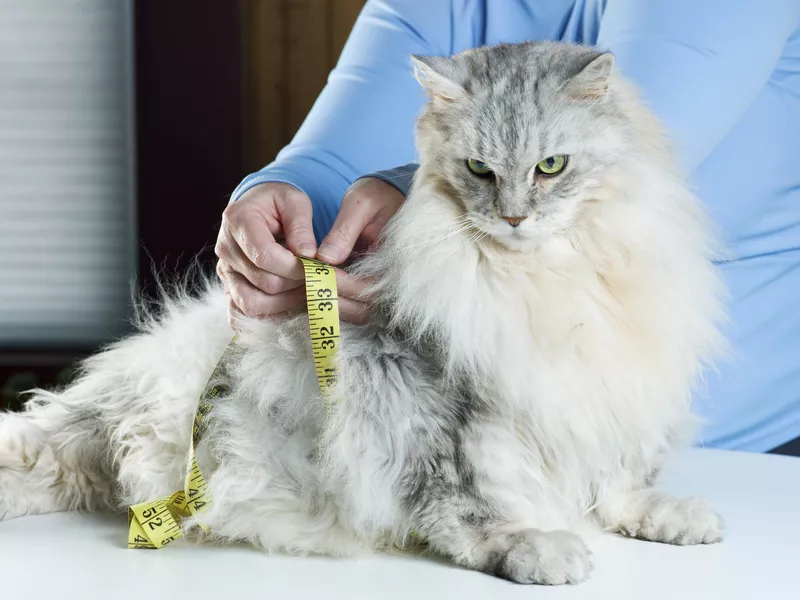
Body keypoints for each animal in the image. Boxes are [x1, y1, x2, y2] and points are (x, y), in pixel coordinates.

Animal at [0, 39, 724, 584]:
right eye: (478, 170)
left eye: (551, 166)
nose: (515, 218)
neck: (546, 279)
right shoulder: (439, 407)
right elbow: (471, 504)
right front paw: (531, 548)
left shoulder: (610, 395)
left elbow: (622, 478)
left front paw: (669, 517)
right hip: (98, 423)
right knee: (39, 444)